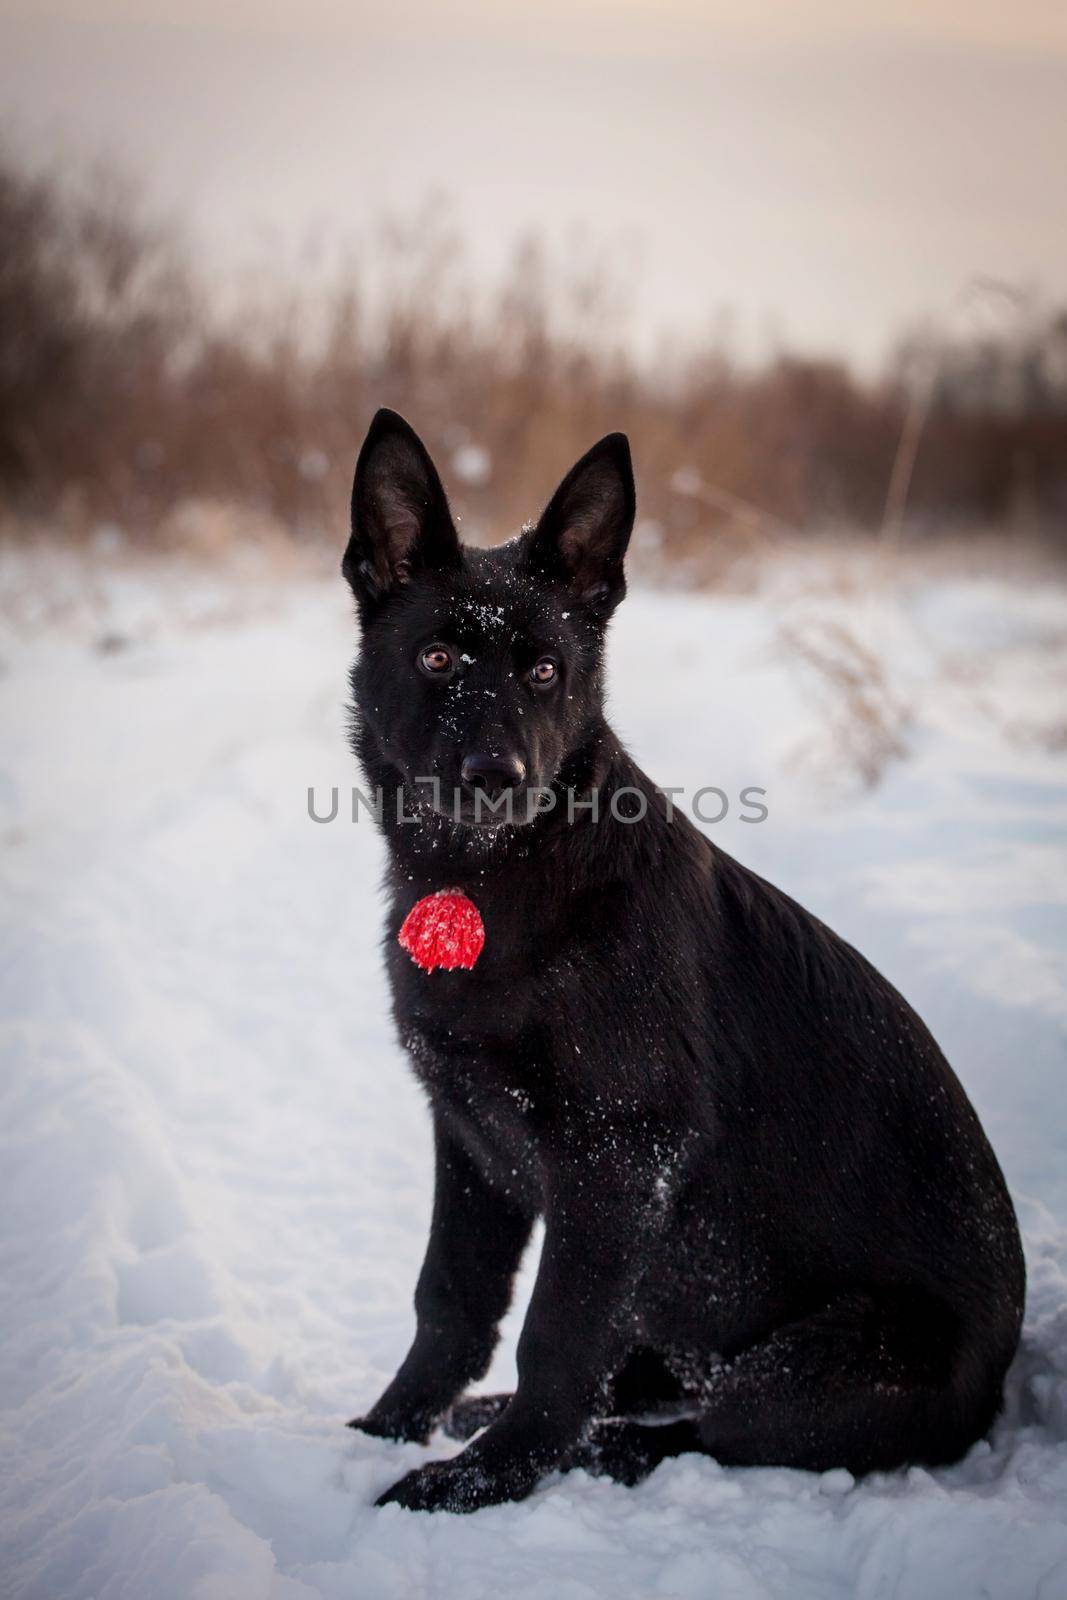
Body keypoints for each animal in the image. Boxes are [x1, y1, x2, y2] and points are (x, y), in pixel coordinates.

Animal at [342, 409, 1023, 1510]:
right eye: (439, 656)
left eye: (544, 671)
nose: (497, 776)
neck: (495, 880)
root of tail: (1001, 1381)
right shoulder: (471, 1137)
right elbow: (449, 1298)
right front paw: (386, 1426)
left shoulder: (617, 1159)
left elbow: (553, 1339)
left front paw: (482, 1484)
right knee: (649, 1368)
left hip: (820, 1367)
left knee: (708, 1428)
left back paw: (596, 1449)